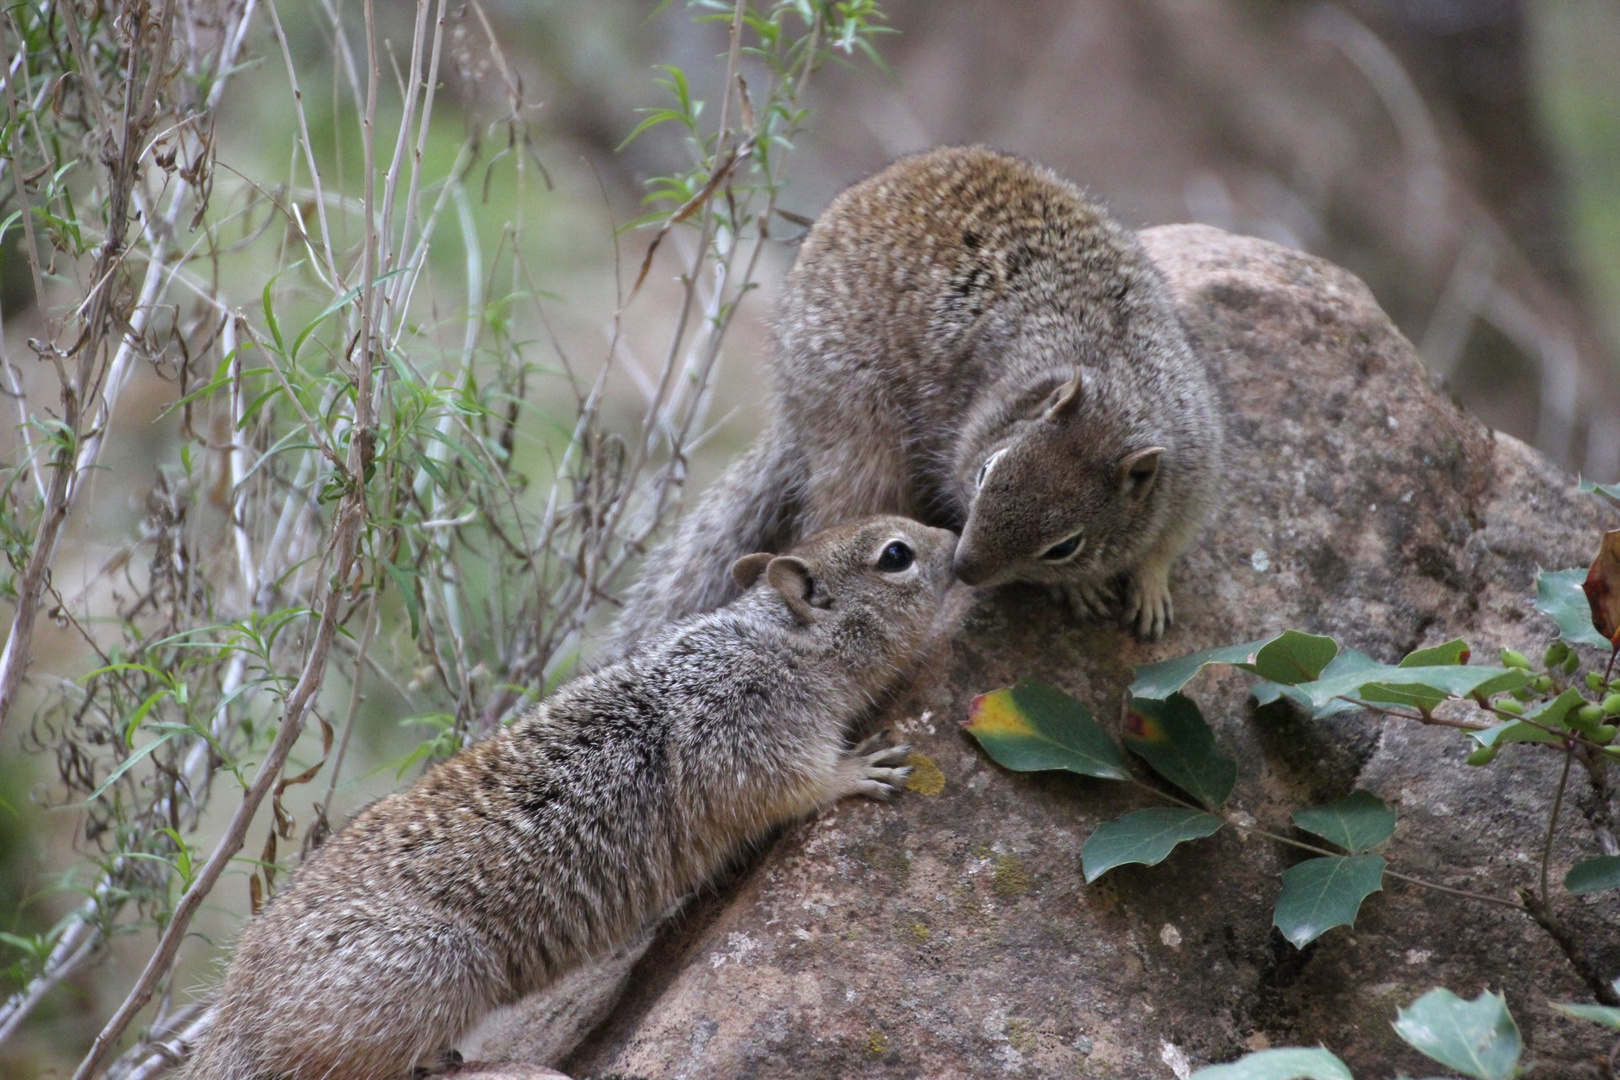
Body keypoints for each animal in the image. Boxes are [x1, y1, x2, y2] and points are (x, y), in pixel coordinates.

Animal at [182, 518, 952, 1080]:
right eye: (897, 555)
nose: (956, 535)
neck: (780, 639)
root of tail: (236, 1019)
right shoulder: (742, 726)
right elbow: (793, 783)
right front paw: (857, 768)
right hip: (437, 964)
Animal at [612, 146, 1218, 647]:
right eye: (986, 472)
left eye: (1064, 545)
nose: (965, 568)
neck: (1111, 384)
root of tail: (791, 405)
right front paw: (1077, 590)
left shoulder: (1196, 473)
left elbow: (1167, 543)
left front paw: (1150, 590)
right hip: (864, 442)